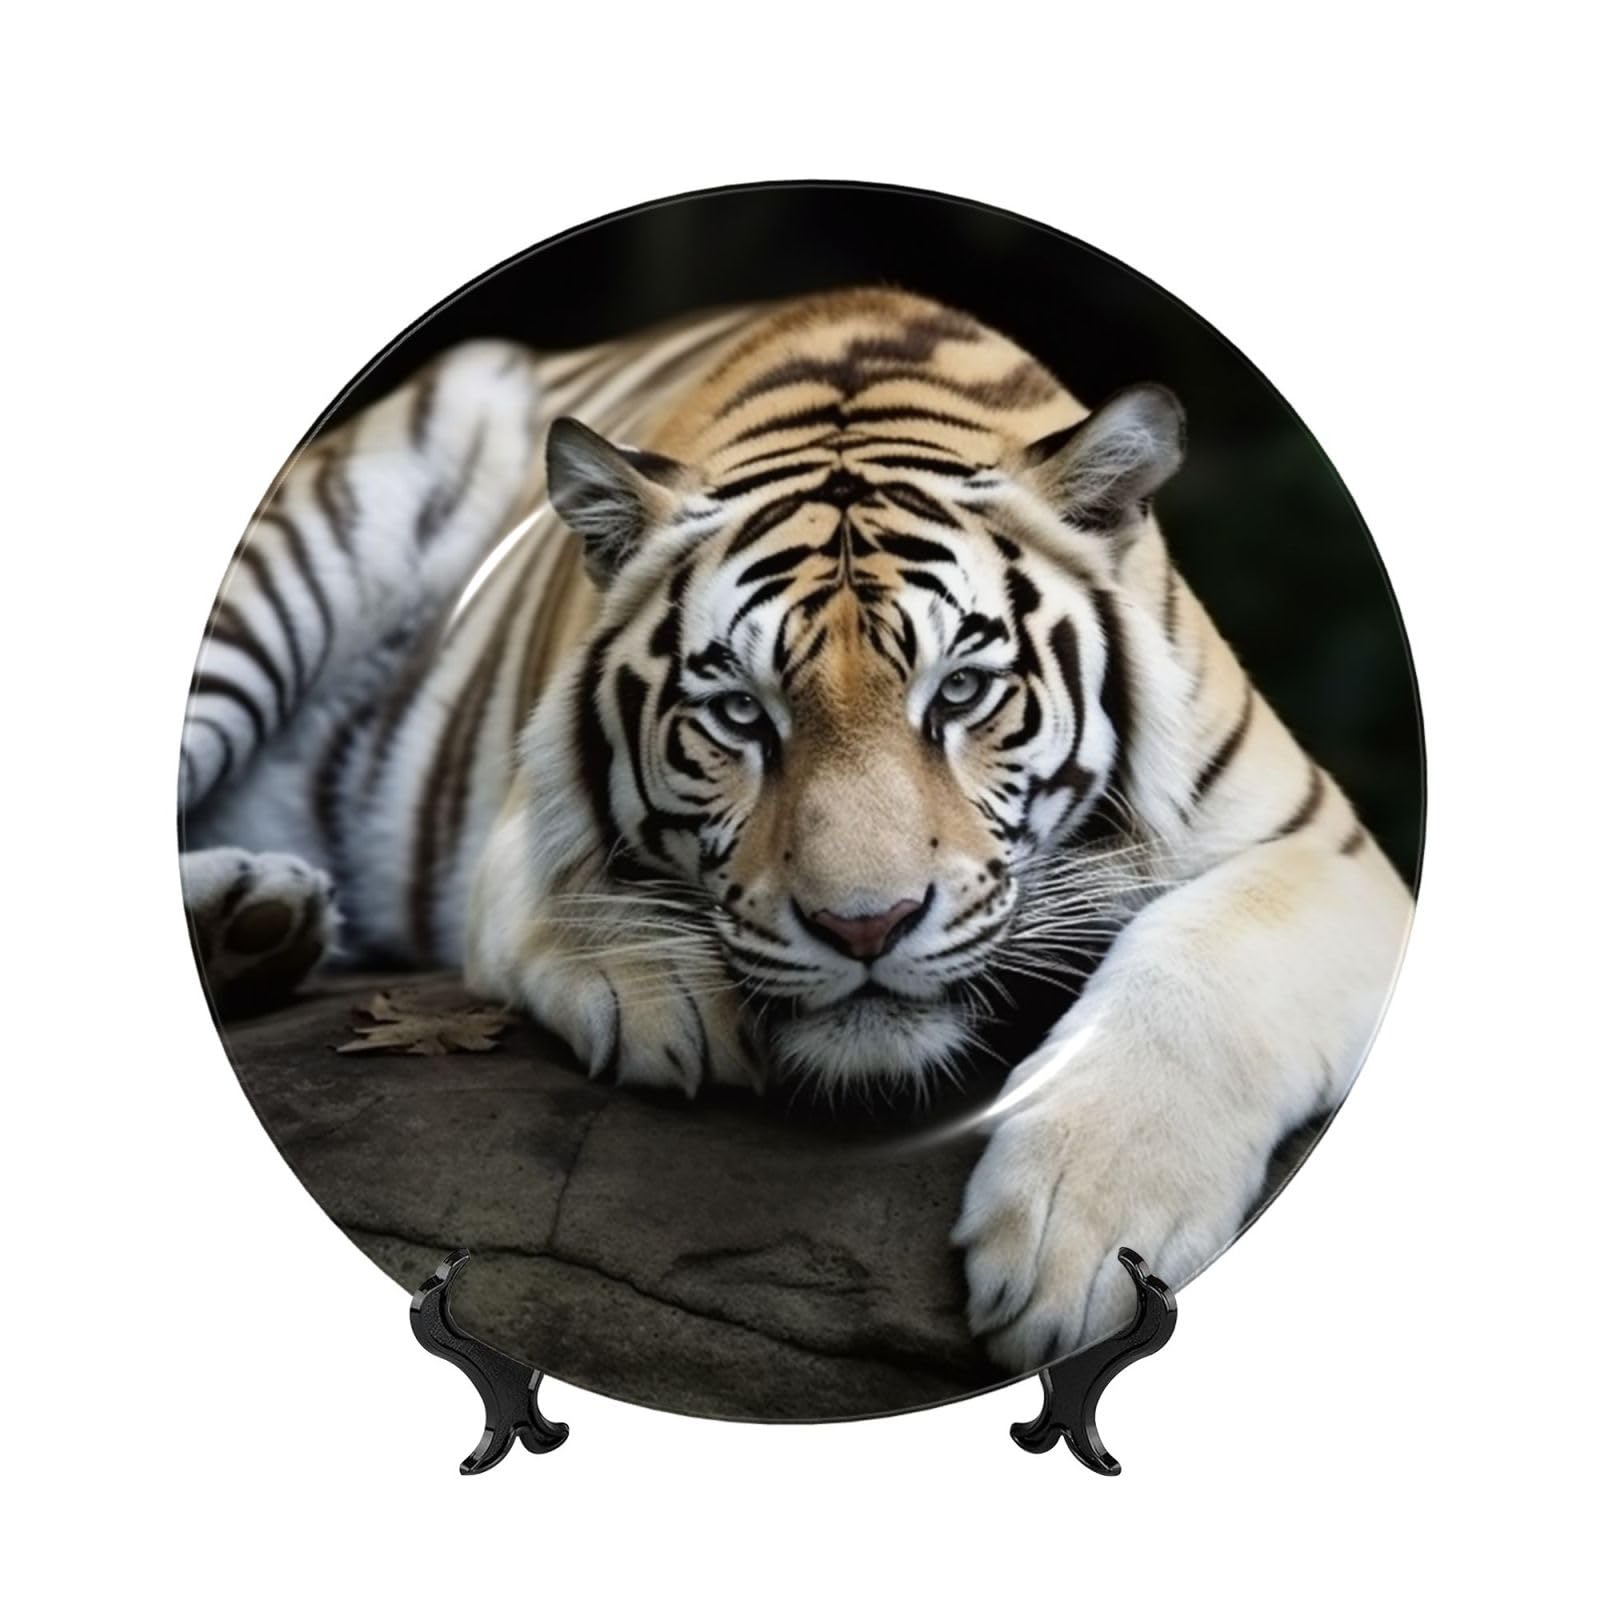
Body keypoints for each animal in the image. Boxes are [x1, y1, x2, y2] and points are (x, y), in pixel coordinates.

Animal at [179, 288, 1414, 1371]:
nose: (864, 928)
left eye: (961, 693)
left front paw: (1086, 1238)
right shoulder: (524, 814)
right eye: (739, 713)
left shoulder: (1328, 846)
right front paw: (668, 990)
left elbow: (1207, 969)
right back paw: (249, 919)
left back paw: (256, 921)